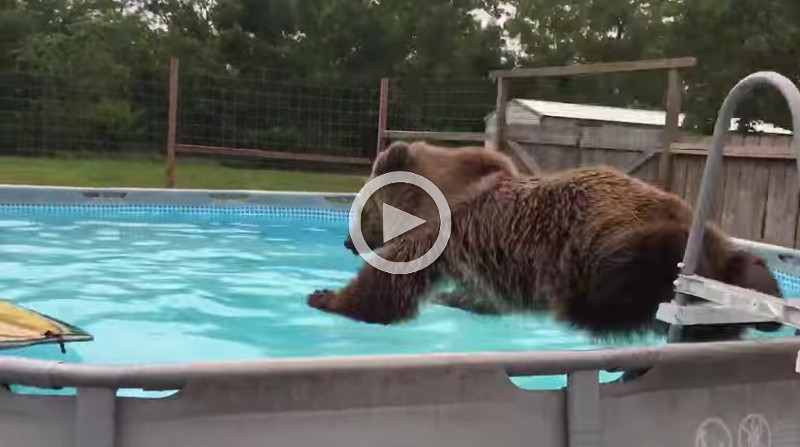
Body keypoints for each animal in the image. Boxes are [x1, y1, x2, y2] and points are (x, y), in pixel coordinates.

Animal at [310, 141, 784, 344]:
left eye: (359, 210)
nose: (347, 242)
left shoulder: (437, 234)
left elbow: (388, 288)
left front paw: (326, 296)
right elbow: (482, 296)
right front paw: (452, 298)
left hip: (608, 242)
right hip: (710, 239)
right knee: (746, 265)